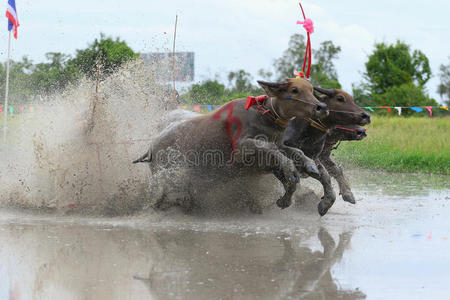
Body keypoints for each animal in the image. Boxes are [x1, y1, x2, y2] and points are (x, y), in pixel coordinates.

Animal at [134, 78, 326, 213]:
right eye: (295, 90)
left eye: (311, 90)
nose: (321, 107)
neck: (264, 116)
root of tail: (151, 148)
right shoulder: (242, 148)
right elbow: (272, 150)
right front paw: (291, 170)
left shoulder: (279, 145)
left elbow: (295, 151)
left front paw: (309, 166)